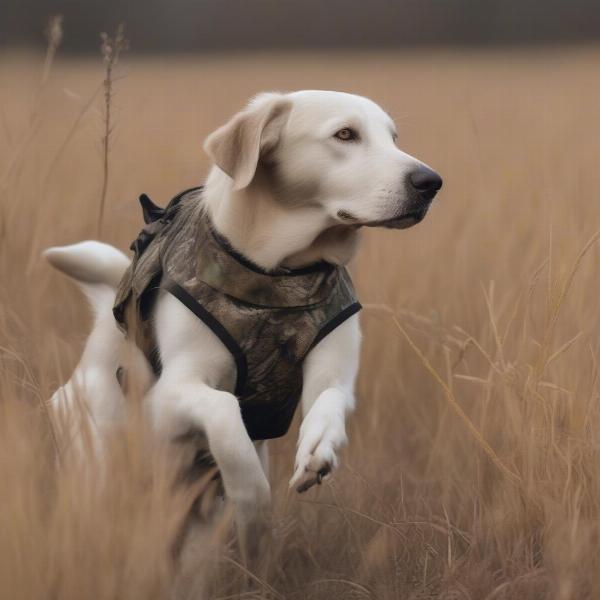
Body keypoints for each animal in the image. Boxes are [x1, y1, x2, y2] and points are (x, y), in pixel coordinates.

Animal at [44, 91, 440, 560]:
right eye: (345, 134)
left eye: (393, 138)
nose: (430, 181)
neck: (279, 275)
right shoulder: (168, 397)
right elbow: (225, 412)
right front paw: (251, 500)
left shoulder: (334, 375)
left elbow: (329, 403)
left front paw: (318, 448)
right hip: (101, 465)